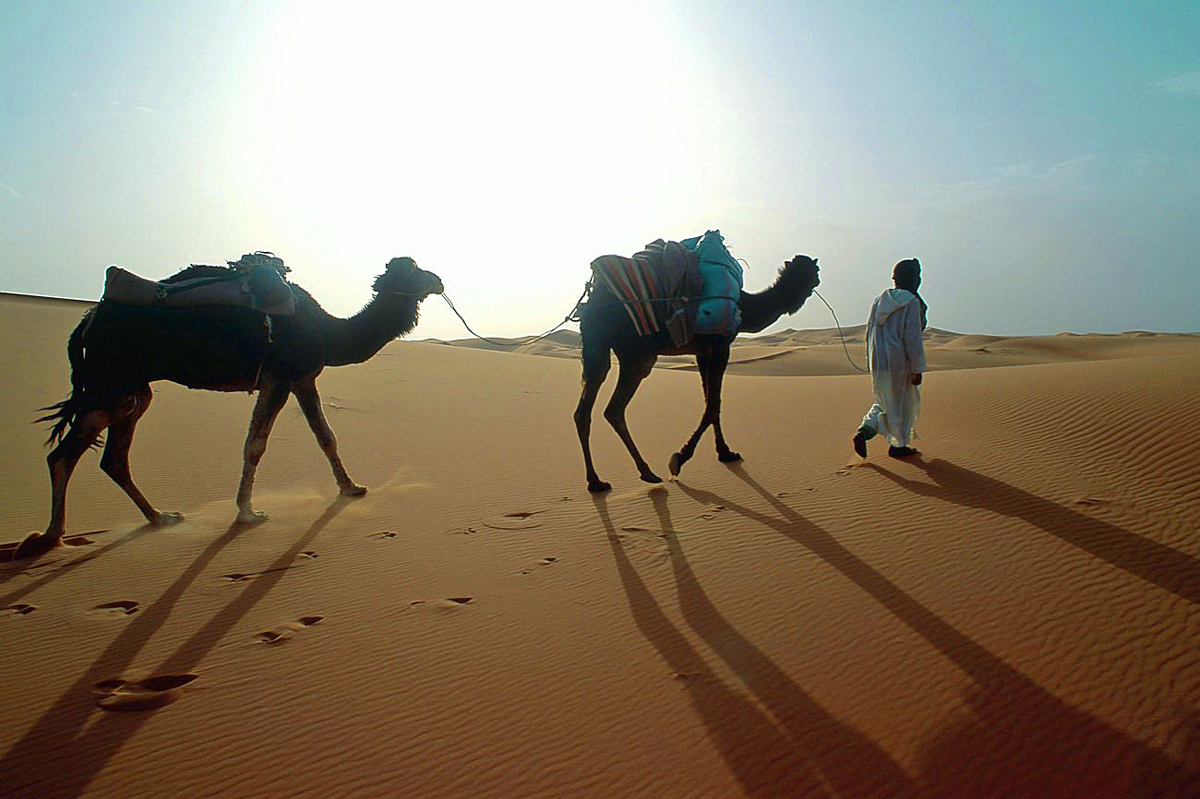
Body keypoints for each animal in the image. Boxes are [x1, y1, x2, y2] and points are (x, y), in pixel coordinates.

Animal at [23, 255, 444, 554]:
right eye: (413, 271)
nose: (439, 280)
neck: (328, 330)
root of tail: (88, 319)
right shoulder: (279, 377)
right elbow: (255, 445)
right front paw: (247, 512)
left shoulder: (303, 378)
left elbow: (326, 436)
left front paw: (352, 487)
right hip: (110, 382)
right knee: (68, 455)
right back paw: (53, 534)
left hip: (127, 388)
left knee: (107, 457)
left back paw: (158, 518)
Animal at [573, 255, 820, 491]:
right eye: (814, 270)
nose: (817, 280)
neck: (745, 306)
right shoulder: (721, 346)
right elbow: (713, 404)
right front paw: (680, 458)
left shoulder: (703, 351)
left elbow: (710, 400)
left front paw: (725, 453)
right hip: (636, 353)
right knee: (614, 409)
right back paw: (647, 472)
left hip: (598, 348)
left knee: (584, 410)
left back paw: (596, 482)